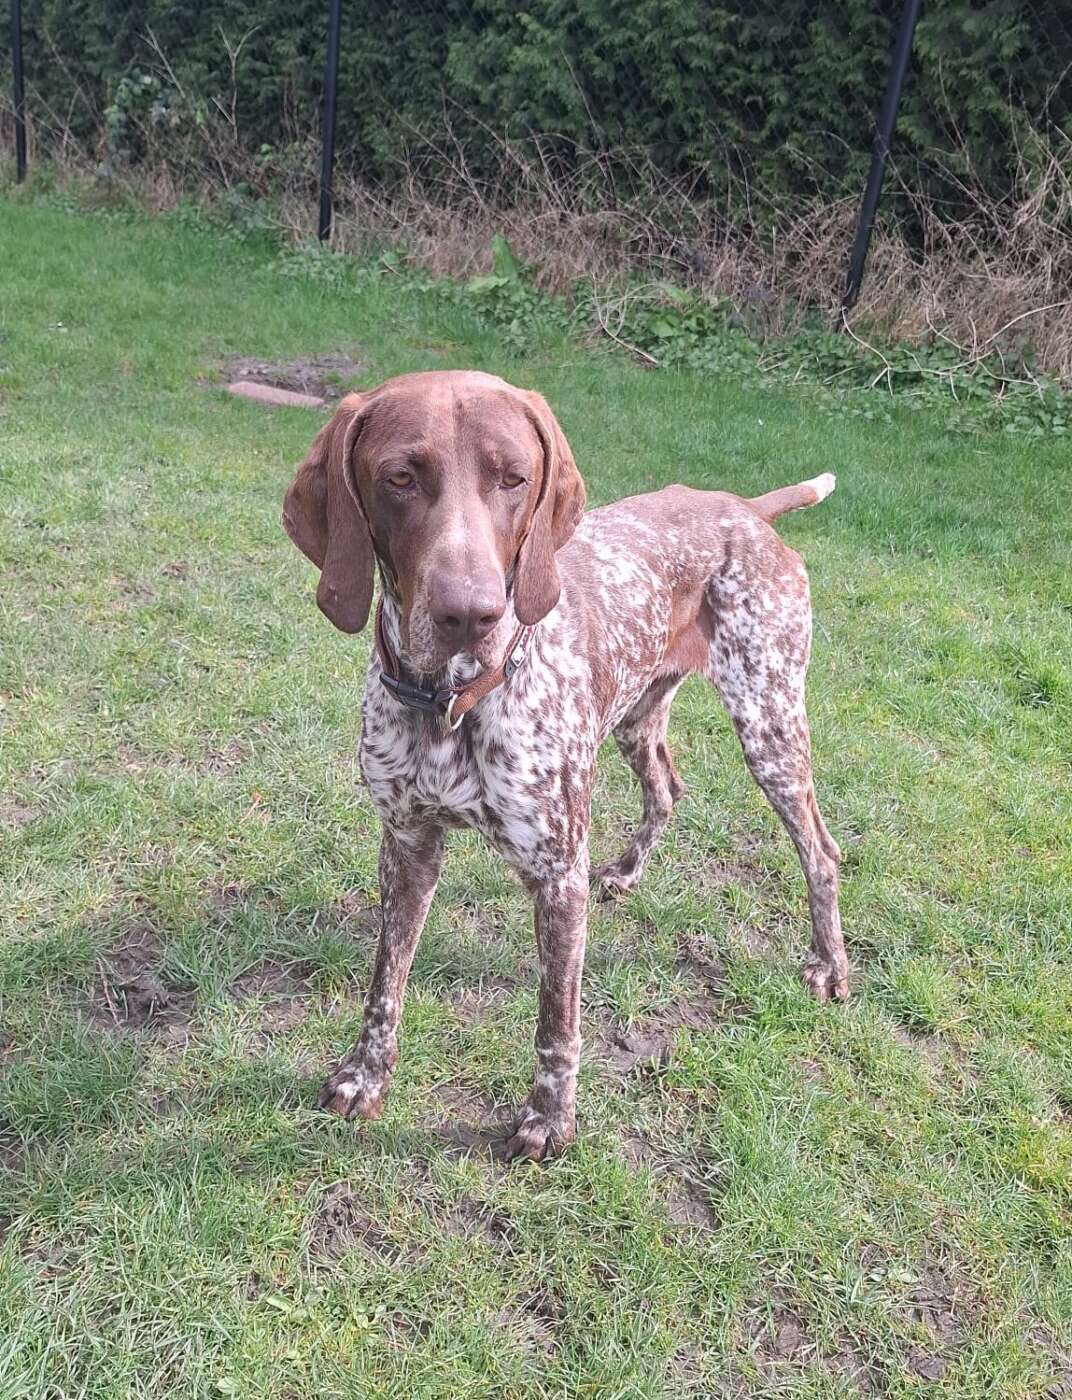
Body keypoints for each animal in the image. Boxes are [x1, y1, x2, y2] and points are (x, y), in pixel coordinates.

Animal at [282, 370, 846, 1160]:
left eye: (514, 478)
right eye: (400, 477)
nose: (472, 613)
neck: (452, 699)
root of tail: (744, 509)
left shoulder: (556, 875)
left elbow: (557, 1018)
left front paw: (550, 1120)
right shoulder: (407, 844)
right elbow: (384, 982)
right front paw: (366, 1076)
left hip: (769, 727)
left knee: (820, 850)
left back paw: (829, 965)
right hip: (637, 720)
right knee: (667, 789)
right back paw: (628, 871)